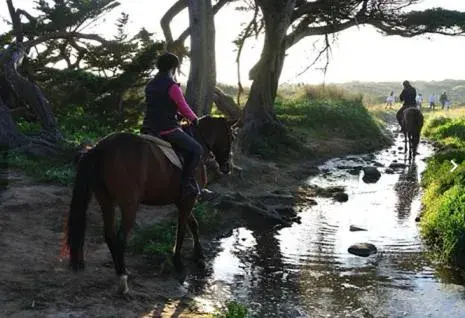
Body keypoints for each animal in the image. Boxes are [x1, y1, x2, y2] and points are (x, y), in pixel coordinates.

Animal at [63, 115, 234, 294]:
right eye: (231, 137)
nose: (227, 167)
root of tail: (100, 147)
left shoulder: (182, 201)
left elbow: (193, 225)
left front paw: (199, 257)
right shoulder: (188, 200)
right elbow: (181, 231)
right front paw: (179, 264)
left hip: (106, 201)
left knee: (109, 236)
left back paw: (122, 271)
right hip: (129, 204)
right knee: (120, 238)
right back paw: (122, 280)